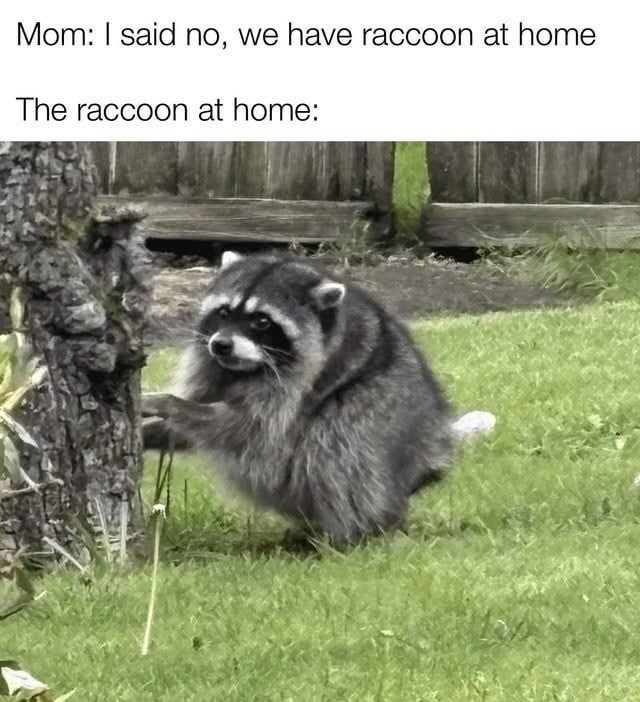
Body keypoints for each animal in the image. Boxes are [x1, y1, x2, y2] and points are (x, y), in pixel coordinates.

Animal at [143, 250, 454, 542]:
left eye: (262, 322)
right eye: (223, 313)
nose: (220, 345)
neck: (246, 369)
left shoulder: (296, 386)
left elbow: (244, 428)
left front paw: (169, 403)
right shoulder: (212, 367)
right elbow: (190, 427)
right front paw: (152, 430)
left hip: (383, 418)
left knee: (336, 441)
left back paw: (354, 532)